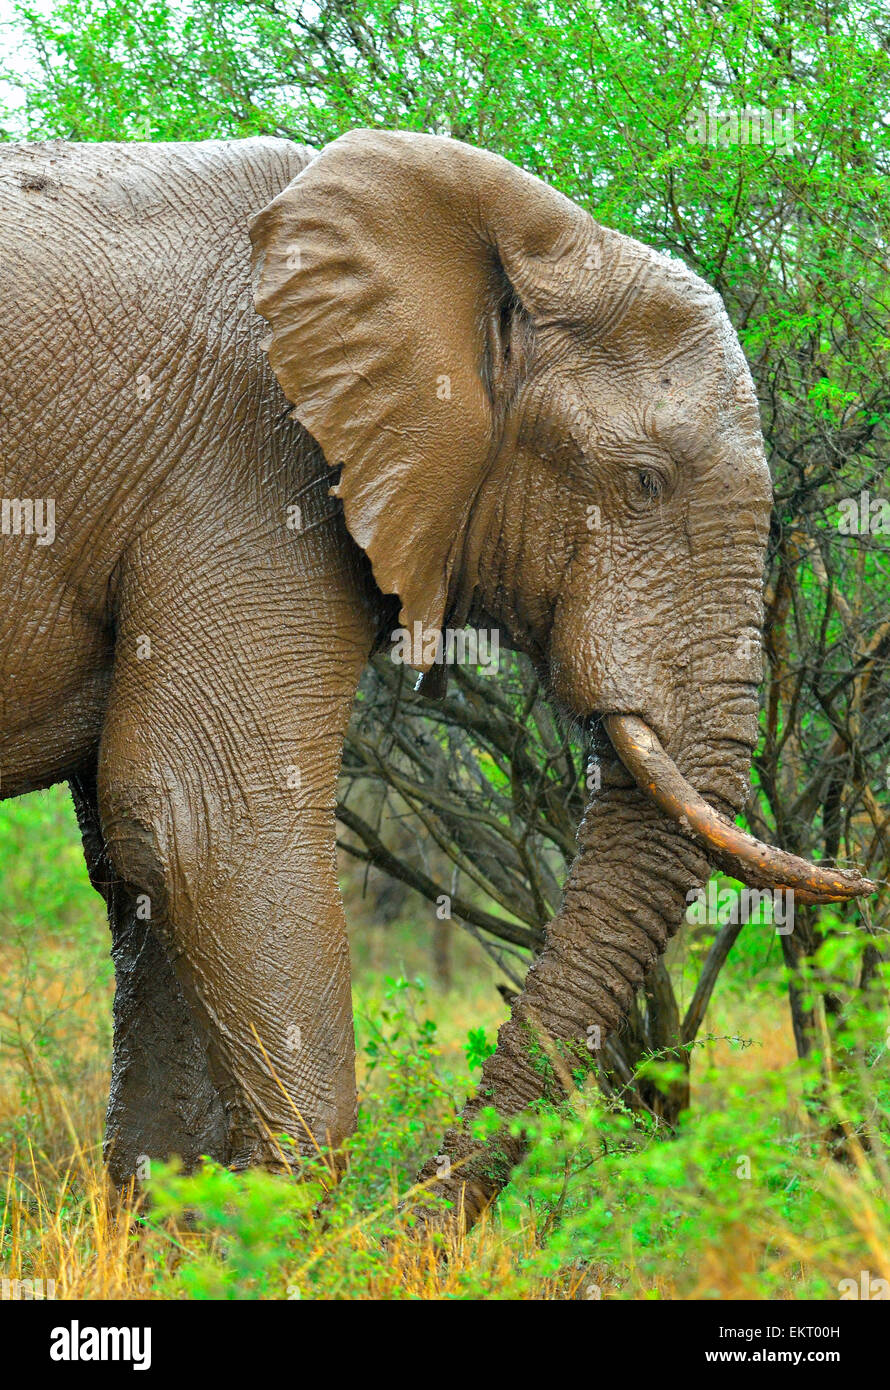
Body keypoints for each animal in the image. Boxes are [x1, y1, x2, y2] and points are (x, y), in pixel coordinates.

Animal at [0, 127, 873, 1217]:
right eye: (641, 484)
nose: (418, 1217)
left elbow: (141, 864)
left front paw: (194, 1228)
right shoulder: (241, 467)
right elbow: (200, 812)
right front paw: (286, 1228)